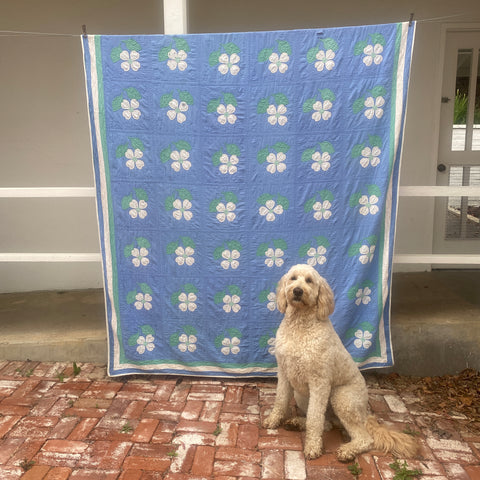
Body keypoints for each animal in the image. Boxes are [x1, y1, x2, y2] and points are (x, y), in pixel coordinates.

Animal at [264, 264, 418, 464]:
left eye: (309, 281)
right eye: (293, 278)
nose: (297, 291)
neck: (300, 325)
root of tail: (365, 413)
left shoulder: (319, 382)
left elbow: (314, 418)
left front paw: (312, 447)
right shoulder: (284, 373)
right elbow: (280, 401)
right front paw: (273, 420)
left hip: (341, 398)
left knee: (363, 438)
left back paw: (347, 451)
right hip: (302, 395)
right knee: (327, 423)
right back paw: (297, 422)